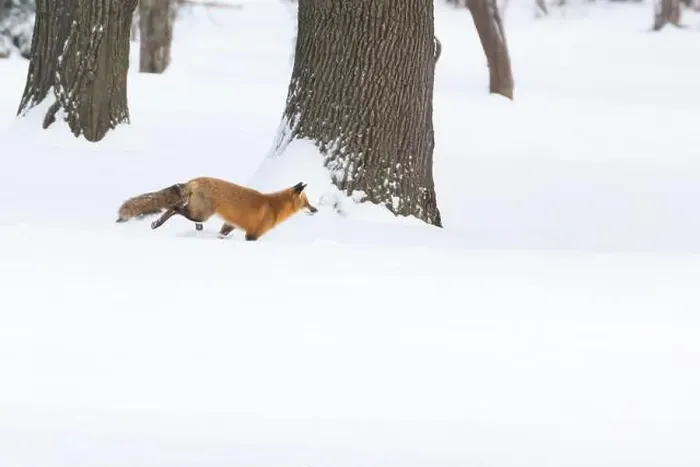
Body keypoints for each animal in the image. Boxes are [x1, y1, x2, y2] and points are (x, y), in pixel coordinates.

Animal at [115, 177, 318, 240]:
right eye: (306, 203)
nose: (315, 210)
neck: (274, 207)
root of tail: (194, 180)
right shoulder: (253, 235)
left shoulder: (230, 225)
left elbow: (221, 235)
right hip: (202, 214)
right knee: (175, 207)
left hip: (198, 211)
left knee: (174, 208)